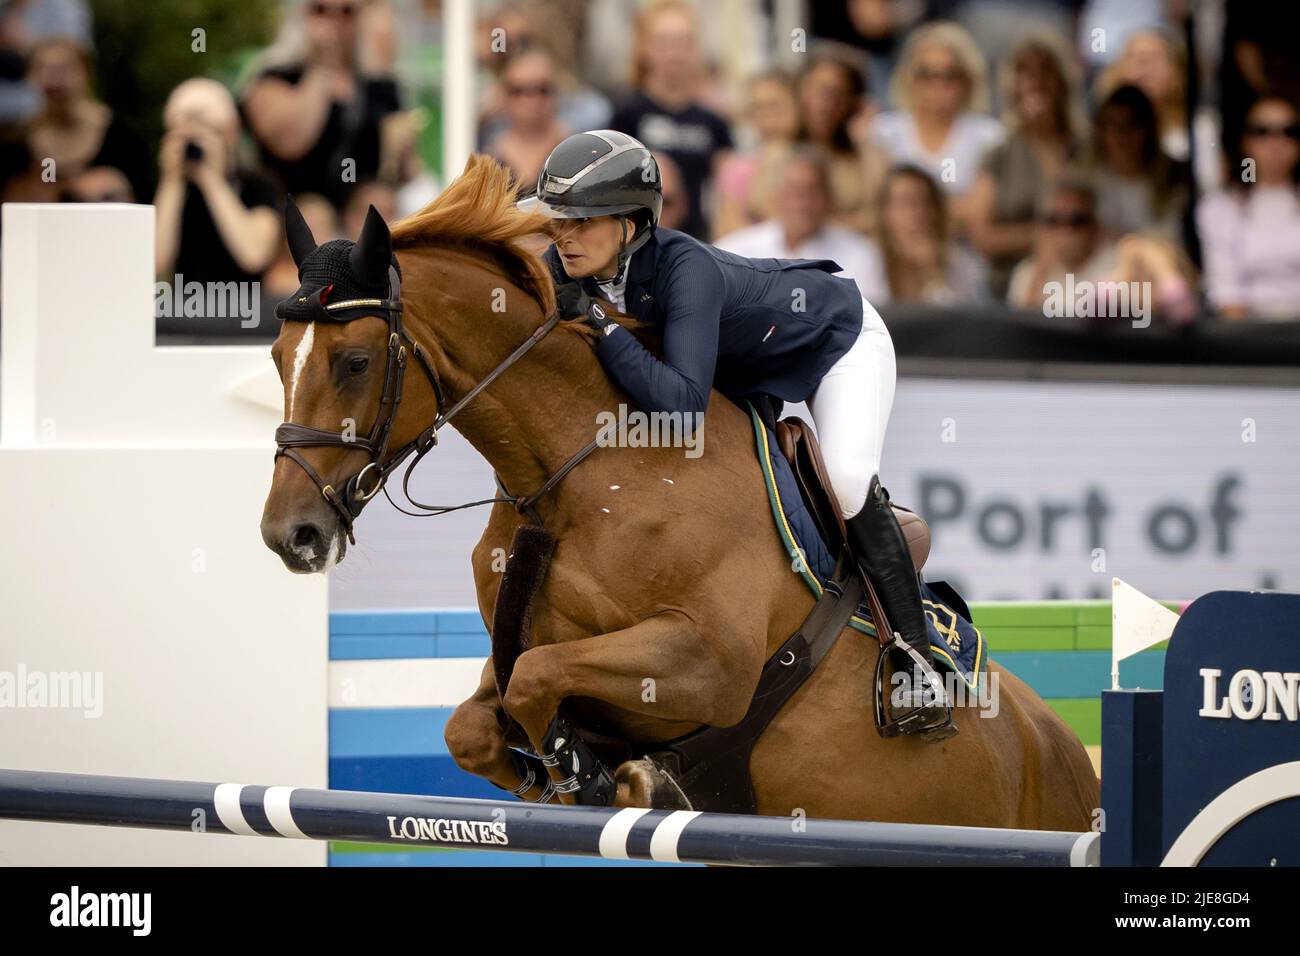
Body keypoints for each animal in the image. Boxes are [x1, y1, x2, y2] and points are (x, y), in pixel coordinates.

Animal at [261, 157, 1097, 832]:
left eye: (356, 360)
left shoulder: (707, 662)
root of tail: (1062, 749)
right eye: (275, 355)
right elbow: (474, 722)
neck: (582, 474)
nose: (287, 536)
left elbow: (540, 679)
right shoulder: (520, 650)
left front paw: (605, 776)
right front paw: (575, 773)